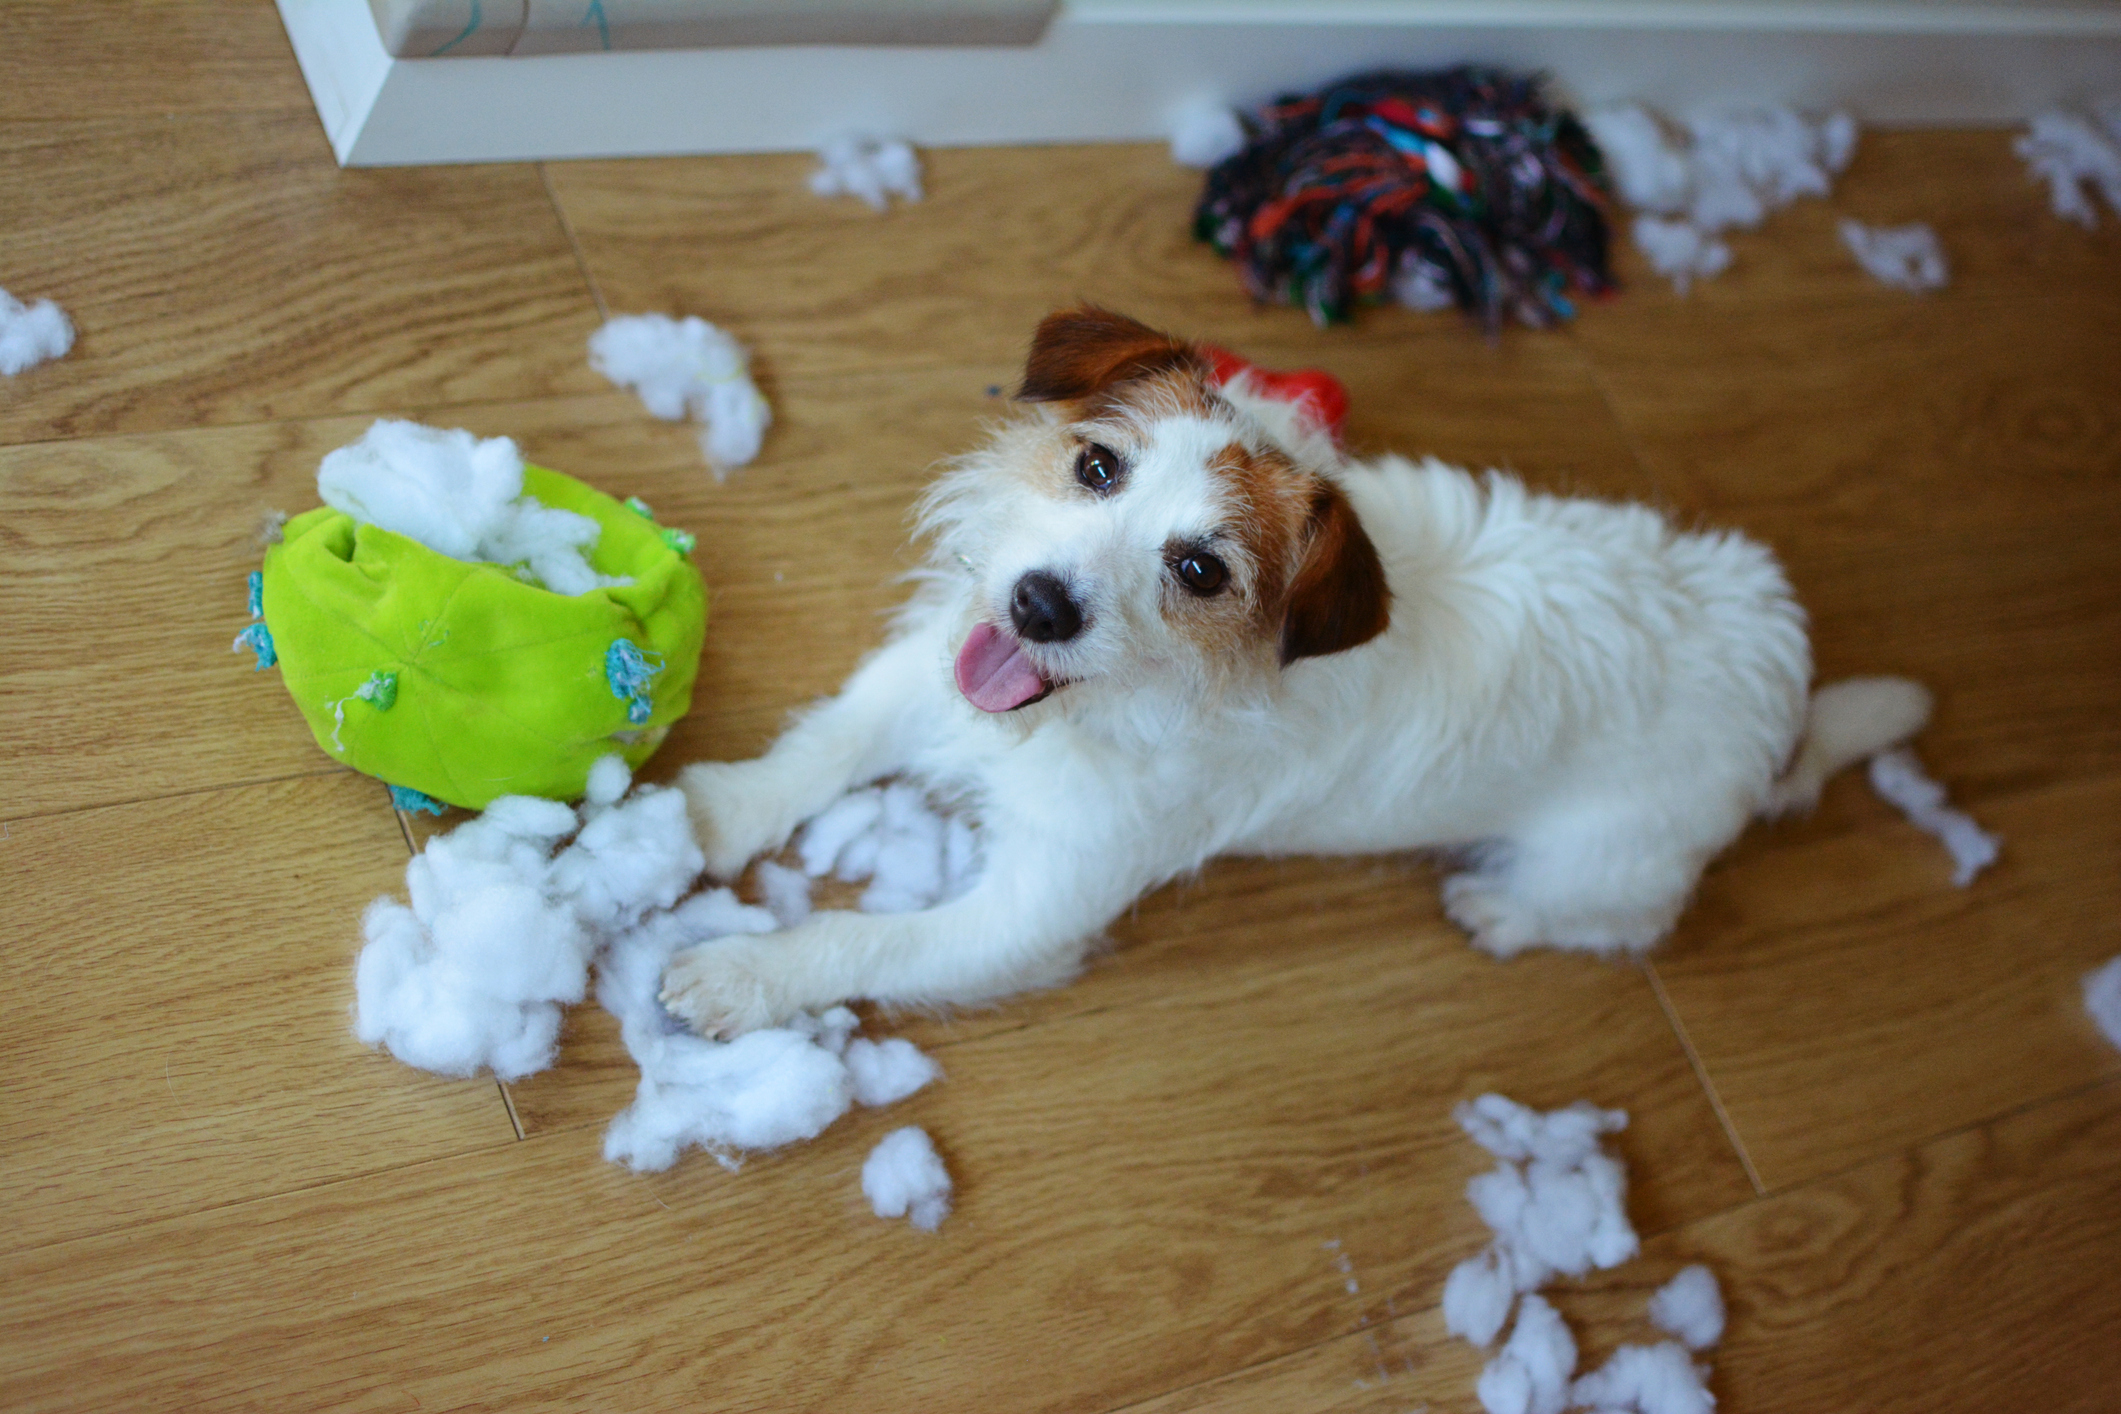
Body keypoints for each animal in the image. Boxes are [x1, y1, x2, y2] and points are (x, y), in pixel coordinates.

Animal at [657, 307, 1925, 1038]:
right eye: (1098, 466)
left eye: (1201, 569)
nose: (1038, 605)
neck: (1096, 709)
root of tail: (1785, 675)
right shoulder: (936, 673)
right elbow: (828, 741)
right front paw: (712, 813)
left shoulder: (1035, 906)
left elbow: (864, 941)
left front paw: (737, 977)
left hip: (1611, 856)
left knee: (1621, 920)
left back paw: (1502, 908)